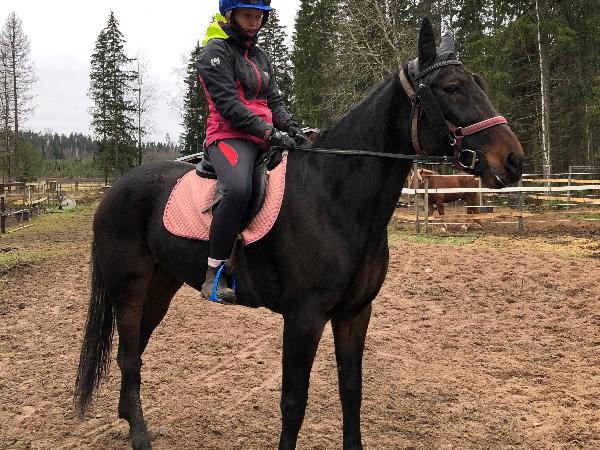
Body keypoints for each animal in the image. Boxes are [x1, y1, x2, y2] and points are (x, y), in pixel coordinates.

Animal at [74, 18, 524, 450]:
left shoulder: (354, 313)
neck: (334, 195)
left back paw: (132, 422)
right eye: (452, 88)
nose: (514, 160)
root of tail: (115, 189)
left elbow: (351, 391)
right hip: (129, 287)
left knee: (134, 351)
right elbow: (294, 402)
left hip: (160, 285)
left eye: (478, 84)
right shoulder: (304, 317)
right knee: (129, 356)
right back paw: (139, 436)